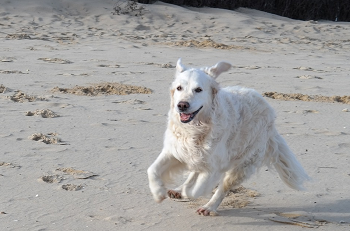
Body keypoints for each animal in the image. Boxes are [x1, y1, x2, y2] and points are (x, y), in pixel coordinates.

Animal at [147, 58, 308, 216]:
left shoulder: (214, 166)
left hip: (243, 164)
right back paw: (178, 190)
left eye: (198, 90)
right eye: (179, 88)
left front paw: (187, 193)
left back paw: (208, 207)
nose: (182, 105)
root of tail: (270, 114)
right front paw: (158, 192)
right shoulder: (176, 150)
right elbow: (152, 170)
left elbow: (196, 190)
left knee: (222, 188)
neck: (195, 128)